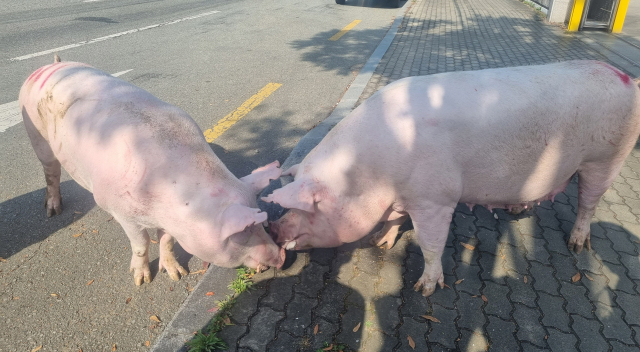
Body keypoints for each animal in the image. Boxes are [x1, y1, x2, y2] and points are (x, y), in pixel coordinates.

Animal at [20, 55, 284, 286]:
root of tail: (52, 64)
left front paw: (177, 275)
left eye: (261, 223)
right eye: (244, 232)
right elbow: (142, 243)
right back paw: (53, 212)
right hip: (36, 133)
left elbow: (166, 240)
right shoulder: (119, 210)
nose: (281, 256)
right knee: (51, 172)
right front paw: (141, 281)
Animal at [262, 60, 640, 296]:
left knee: (588, 201)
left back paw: (577, 245)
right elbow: (395, 220)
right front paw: (379, 242)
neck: (369, 174)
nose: (273, 228)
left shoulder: (434, 199)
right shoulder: (402, 197)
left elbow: (431, 243)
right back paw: (517, 211)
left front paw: (425, 289)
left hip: (607, 158)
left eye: (310, 206)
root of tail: (626, 78)